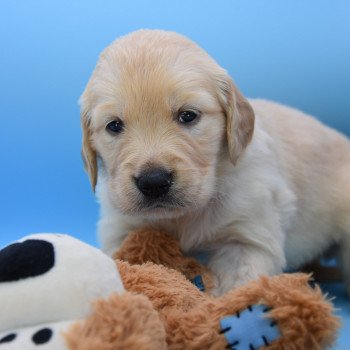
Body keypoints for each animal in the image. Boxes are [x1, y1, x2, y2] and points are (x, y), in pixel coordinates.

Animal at [80, 30, 350, 296]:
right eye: (114, 125)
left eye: (188, 116)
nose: (154, 181)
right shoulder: (121, 228)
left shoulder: (247, 238)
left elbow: (235, 288)